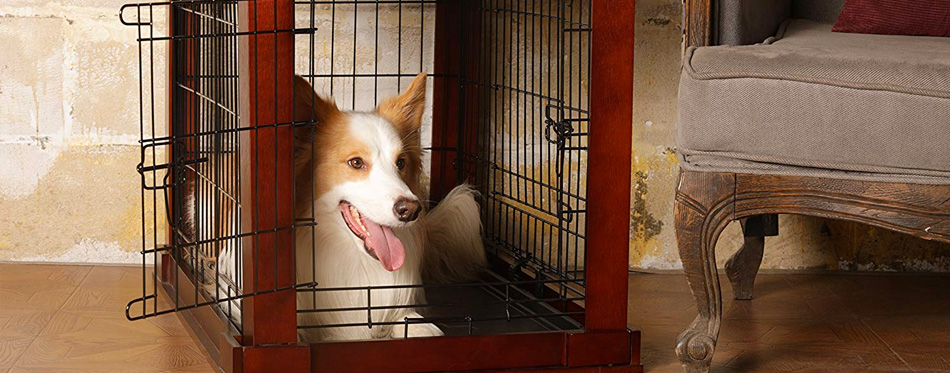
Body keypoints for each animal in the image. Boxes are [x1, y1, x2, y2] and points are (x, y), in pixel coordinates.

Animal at [194, 72, 490, 340]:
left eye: (401, 163)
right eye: (356, 163)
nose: (411, 210)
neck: (348, 255)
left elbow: (416, 323)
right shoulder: (231, 292)